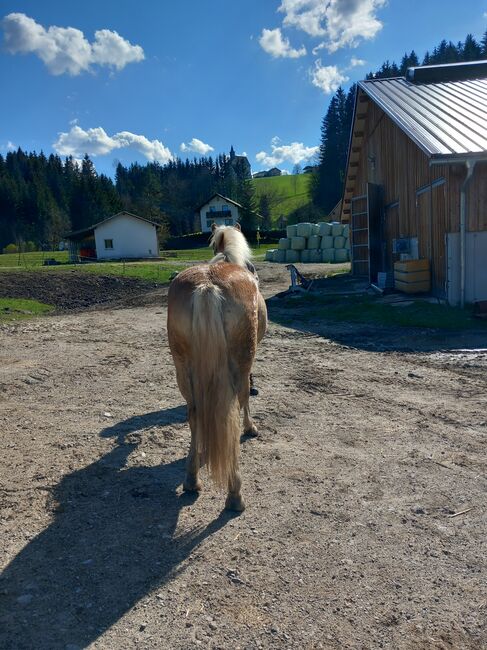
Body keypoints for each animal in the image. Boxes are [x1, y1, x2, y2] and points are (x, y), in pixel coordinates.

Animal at [167, 223, 266, 512]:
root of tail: (207, 286)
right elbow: (246, 397)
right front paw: (251, 428)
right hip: (240, 363)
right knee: (234, 406)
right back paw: (235, 494)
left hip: (183, 368)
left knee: (195, 412)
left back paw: (191, 478)